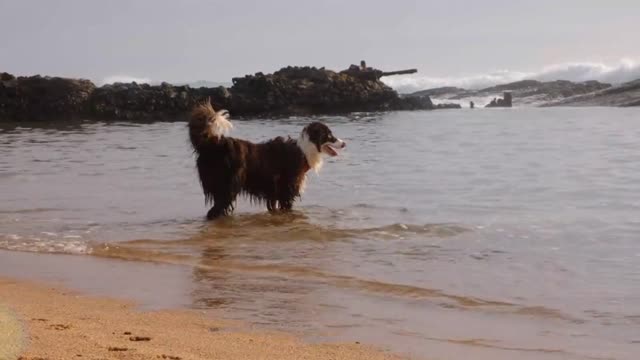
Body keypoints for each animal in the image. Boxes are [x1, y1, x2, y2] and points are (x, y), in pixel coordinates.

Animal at [188, 100, 344, 219]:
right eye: (329, 135)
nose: (344, 143)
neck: (304, 150)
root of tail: (211, 145)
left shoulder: (274, 193)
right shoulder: (287, 191)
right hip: (228, 187)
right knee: (215, 210)